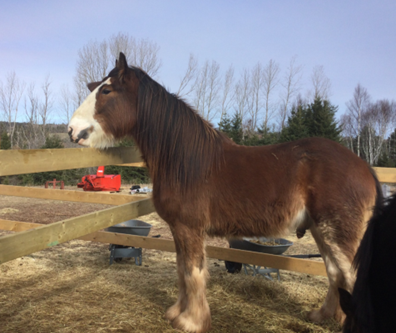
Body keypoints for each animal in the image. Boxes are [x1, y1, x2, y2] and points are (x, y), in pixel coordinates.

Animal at [67, 52, 380, 332]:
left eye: (106, 90)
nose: (72, 130)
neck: (185, 161)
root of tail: (364, 167)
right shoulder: (179, 229)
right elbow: (182, 270)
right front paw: (177, 313)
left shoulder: (190, 228)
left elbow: (193, 272)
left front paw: (191, 322)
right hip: (321, 230)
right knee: (335, 274)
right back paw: (323, 316)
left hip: (336, 232)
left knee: (349, 276)